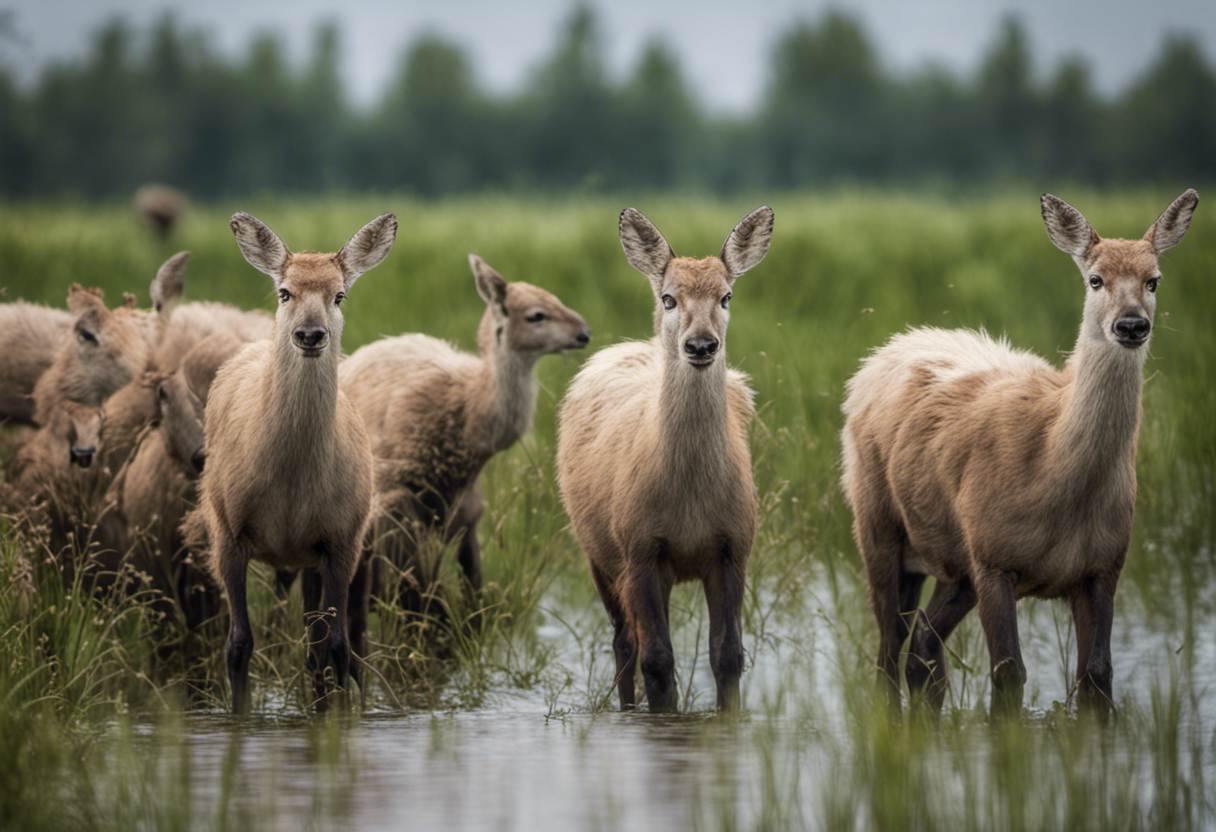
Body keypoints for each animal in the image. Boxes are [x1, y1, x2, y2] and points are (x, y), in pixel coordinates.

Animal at [199, 211, 396, 710]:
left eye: (339, 294)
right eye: (284, 291)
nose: (309, 334)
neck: (291, 488)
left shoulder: (343, 537)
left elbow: (337, 647)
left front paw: (338, 718)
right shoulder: (227, 531)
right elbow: (238, 643)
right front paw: (239, 716)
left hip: (315, 557)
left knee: (319, 643)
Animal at [340, 255, 590, 622]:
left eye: (556, 298)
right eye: (536, 315)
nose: (584, 333)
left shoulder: (465, 513)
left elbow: (470, 594)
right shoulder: (398, 506)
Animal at [556, 204, 773, 710]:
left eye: (726, 296)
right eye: (670, 298)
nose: (701, 345)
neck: (688, 501)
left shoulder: (734, 544)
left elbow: (728, 655)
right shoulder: (639, 545)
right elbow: (656, 659)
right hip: (597, 551)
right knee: (624, 641)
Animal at [841, 188, 1201, 715]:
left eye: (1153, 280)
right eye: (1095, 279)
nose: (1131, 324)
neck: (1052, 469)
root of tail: (885, 351)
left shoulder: (1103, 564)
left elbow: (1097, 675)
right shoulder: (994, 558)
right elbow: (1009, 672)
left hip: (954, 560)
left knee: (923, 644)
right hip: (876, 519)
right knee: (889, 647)